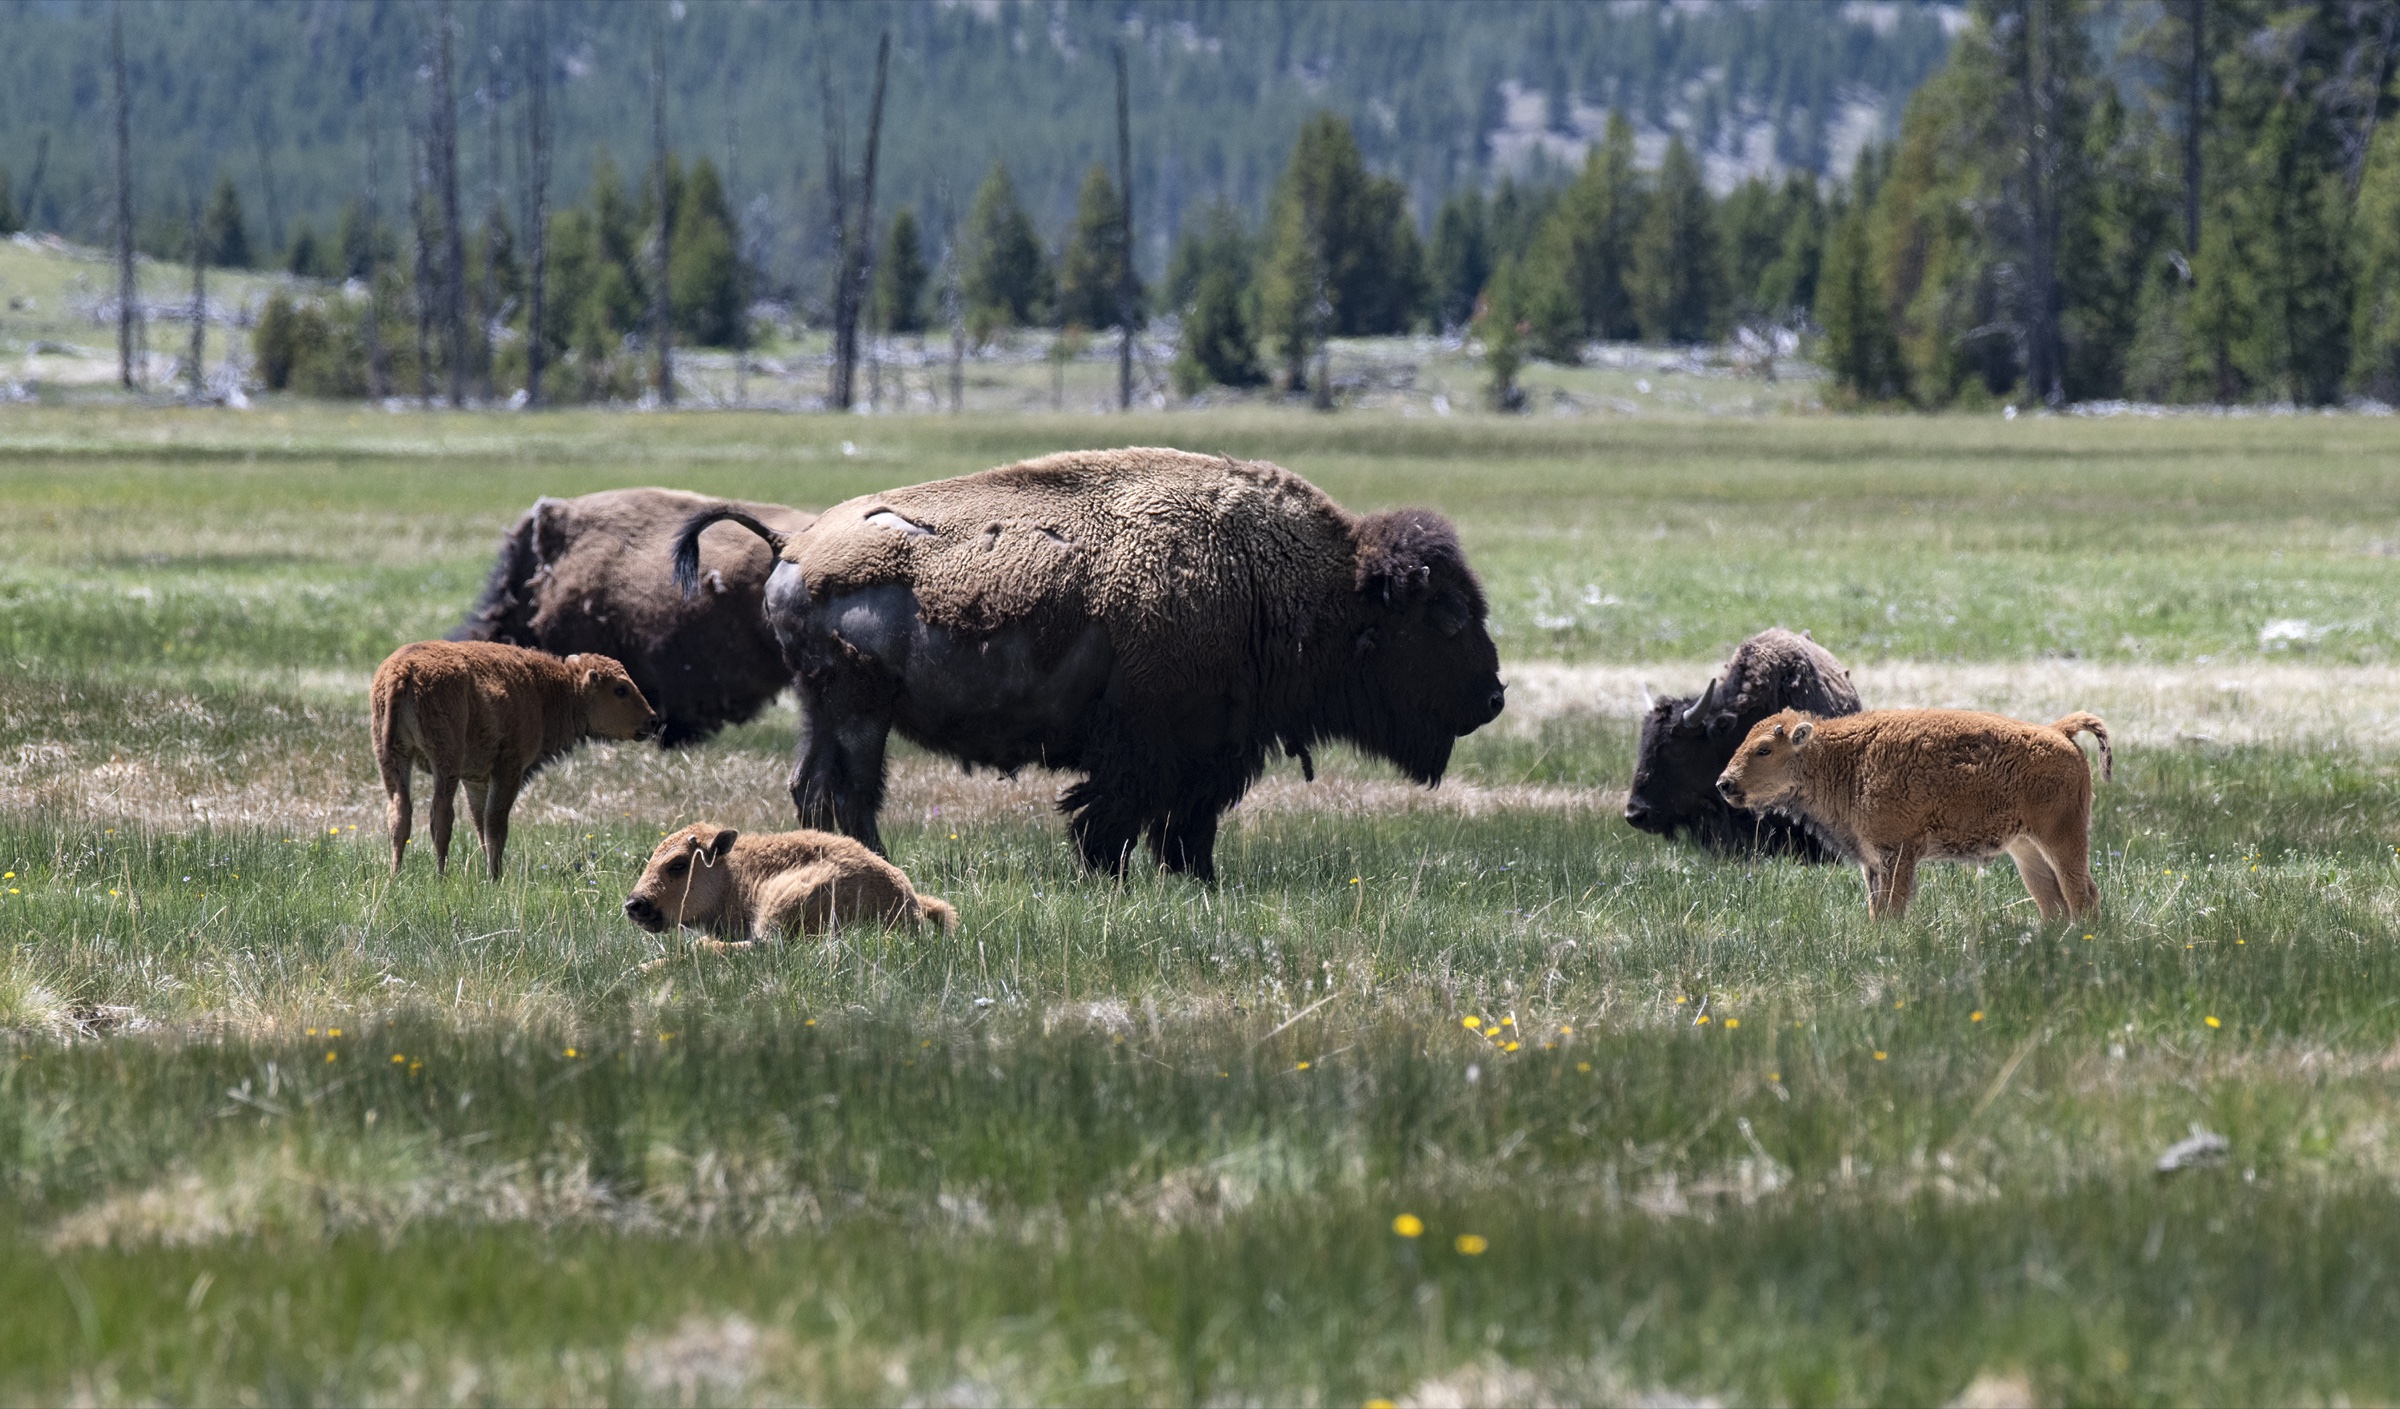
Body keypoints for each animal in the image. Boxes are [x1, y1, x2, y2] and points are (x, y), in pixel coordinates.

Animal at [673, 447, 1507, 881]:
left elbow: (1187, 824)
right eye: (1446, 615)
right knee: (849, 790)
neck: (1297, 580)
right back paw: (881, 867)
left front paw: (1198, 881)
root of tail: (796, 545)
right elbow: (1114, 815)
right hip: (858, 709)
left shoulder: (1213, 755)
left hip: (824, 707)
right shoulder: (1148, 749)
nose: (1494, 696)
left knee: (815, 787)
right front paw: (1109, 874)